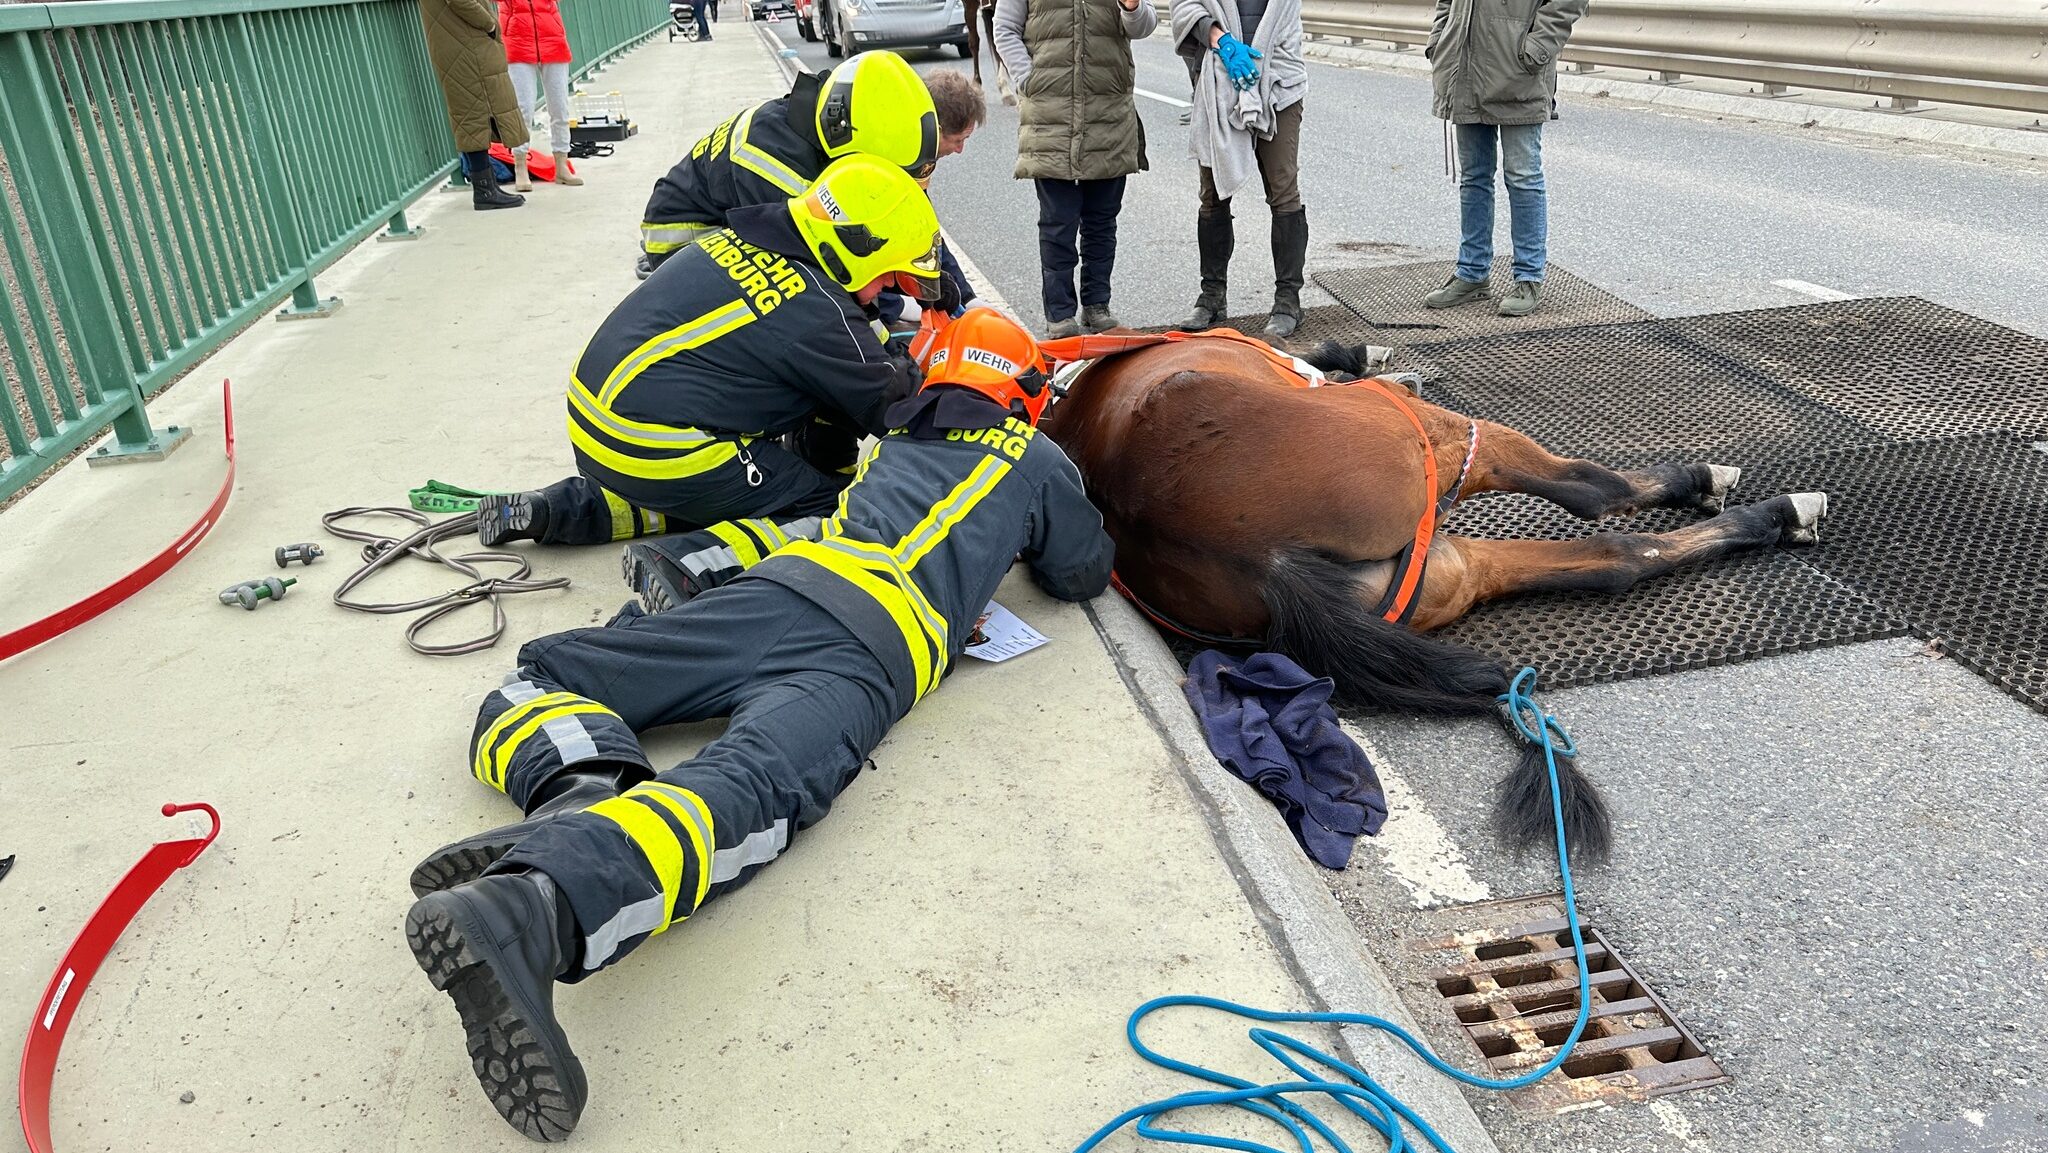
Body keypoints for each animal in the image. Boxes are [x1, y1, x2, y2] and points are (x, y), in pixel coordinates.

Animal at [1040, 331, 1826, 856]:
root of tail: (1267, 560)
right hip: (1441, 442)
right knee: (1592, 494)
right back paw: (1760, 501)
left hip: (1443, 570)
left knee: (1612, 557)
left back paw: (1758, 517)